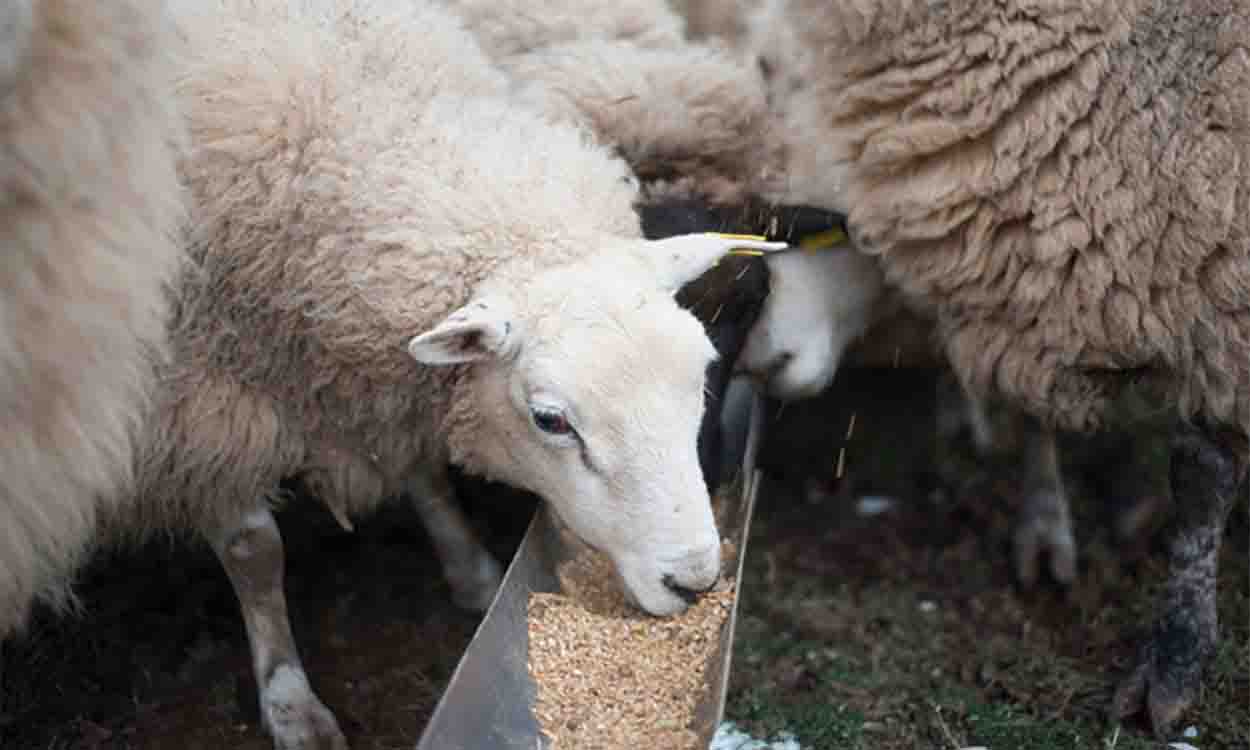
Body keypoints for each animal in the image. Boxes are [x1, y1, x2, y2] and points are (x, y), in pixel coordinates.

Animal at [117, 2, 780, 745]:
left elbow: (426, 476)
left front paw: (474, 572)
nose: (695, 582)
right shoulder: (199, 408)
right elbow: (253, 550)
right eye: (551, 420)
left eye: (701, 373)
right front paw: (291, 702)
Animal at [760, 0, 1250, 730]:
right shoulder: (1026, 263)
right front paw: (1043, 535)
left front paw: (1174, 661)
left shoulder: (1220, 313)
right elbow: (1034, 415)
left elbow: (1200, 482)